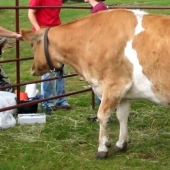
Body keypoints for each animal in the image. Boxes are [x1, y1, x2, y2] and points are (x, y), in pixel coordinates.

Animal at [20, 8, 170, 159]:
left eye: (32, 45)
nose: (32, 69)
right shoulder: (125, 93)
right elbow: (122, 116)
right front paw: (121, 143)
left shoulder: (115, 84)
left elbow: (102, 115)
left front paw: (102, 148)